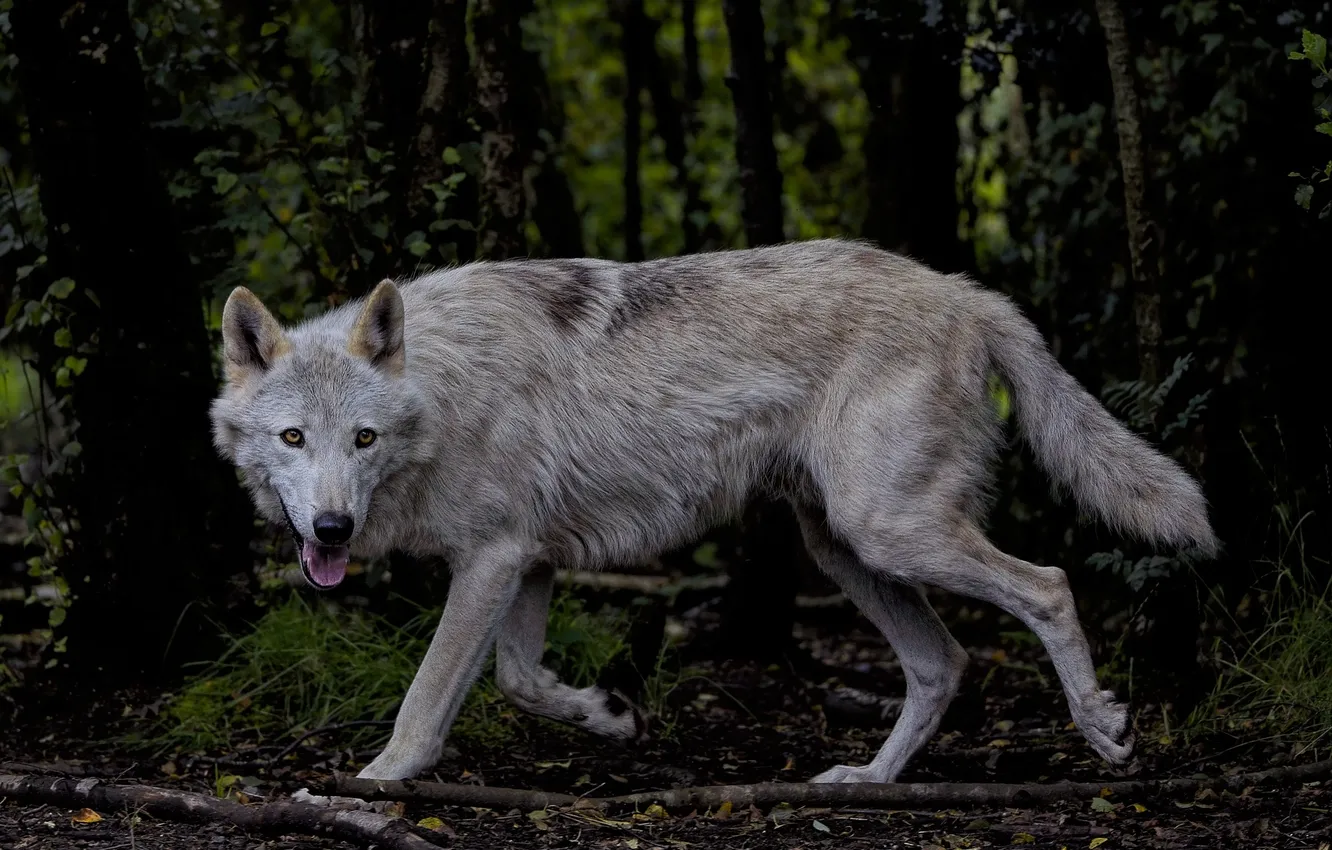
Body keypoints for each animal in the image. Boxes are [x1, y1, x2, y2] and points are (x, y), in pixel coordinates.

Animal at [210, 238, 1218, 784]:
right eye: (295, 439)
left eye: (364, 440)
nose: (332, 531)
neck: (442, 391)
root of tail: (966, 292)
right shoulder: (527, 561)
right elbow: (523, 681)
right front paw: (612, 715)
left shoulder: (493, 560)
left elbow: (426, 701)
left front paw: (378, 780)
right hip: (848, 549)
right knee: (944, 663)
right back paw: (867, 780)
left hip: (891, 532)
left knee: (1047, 585)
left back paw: (1103, 729)